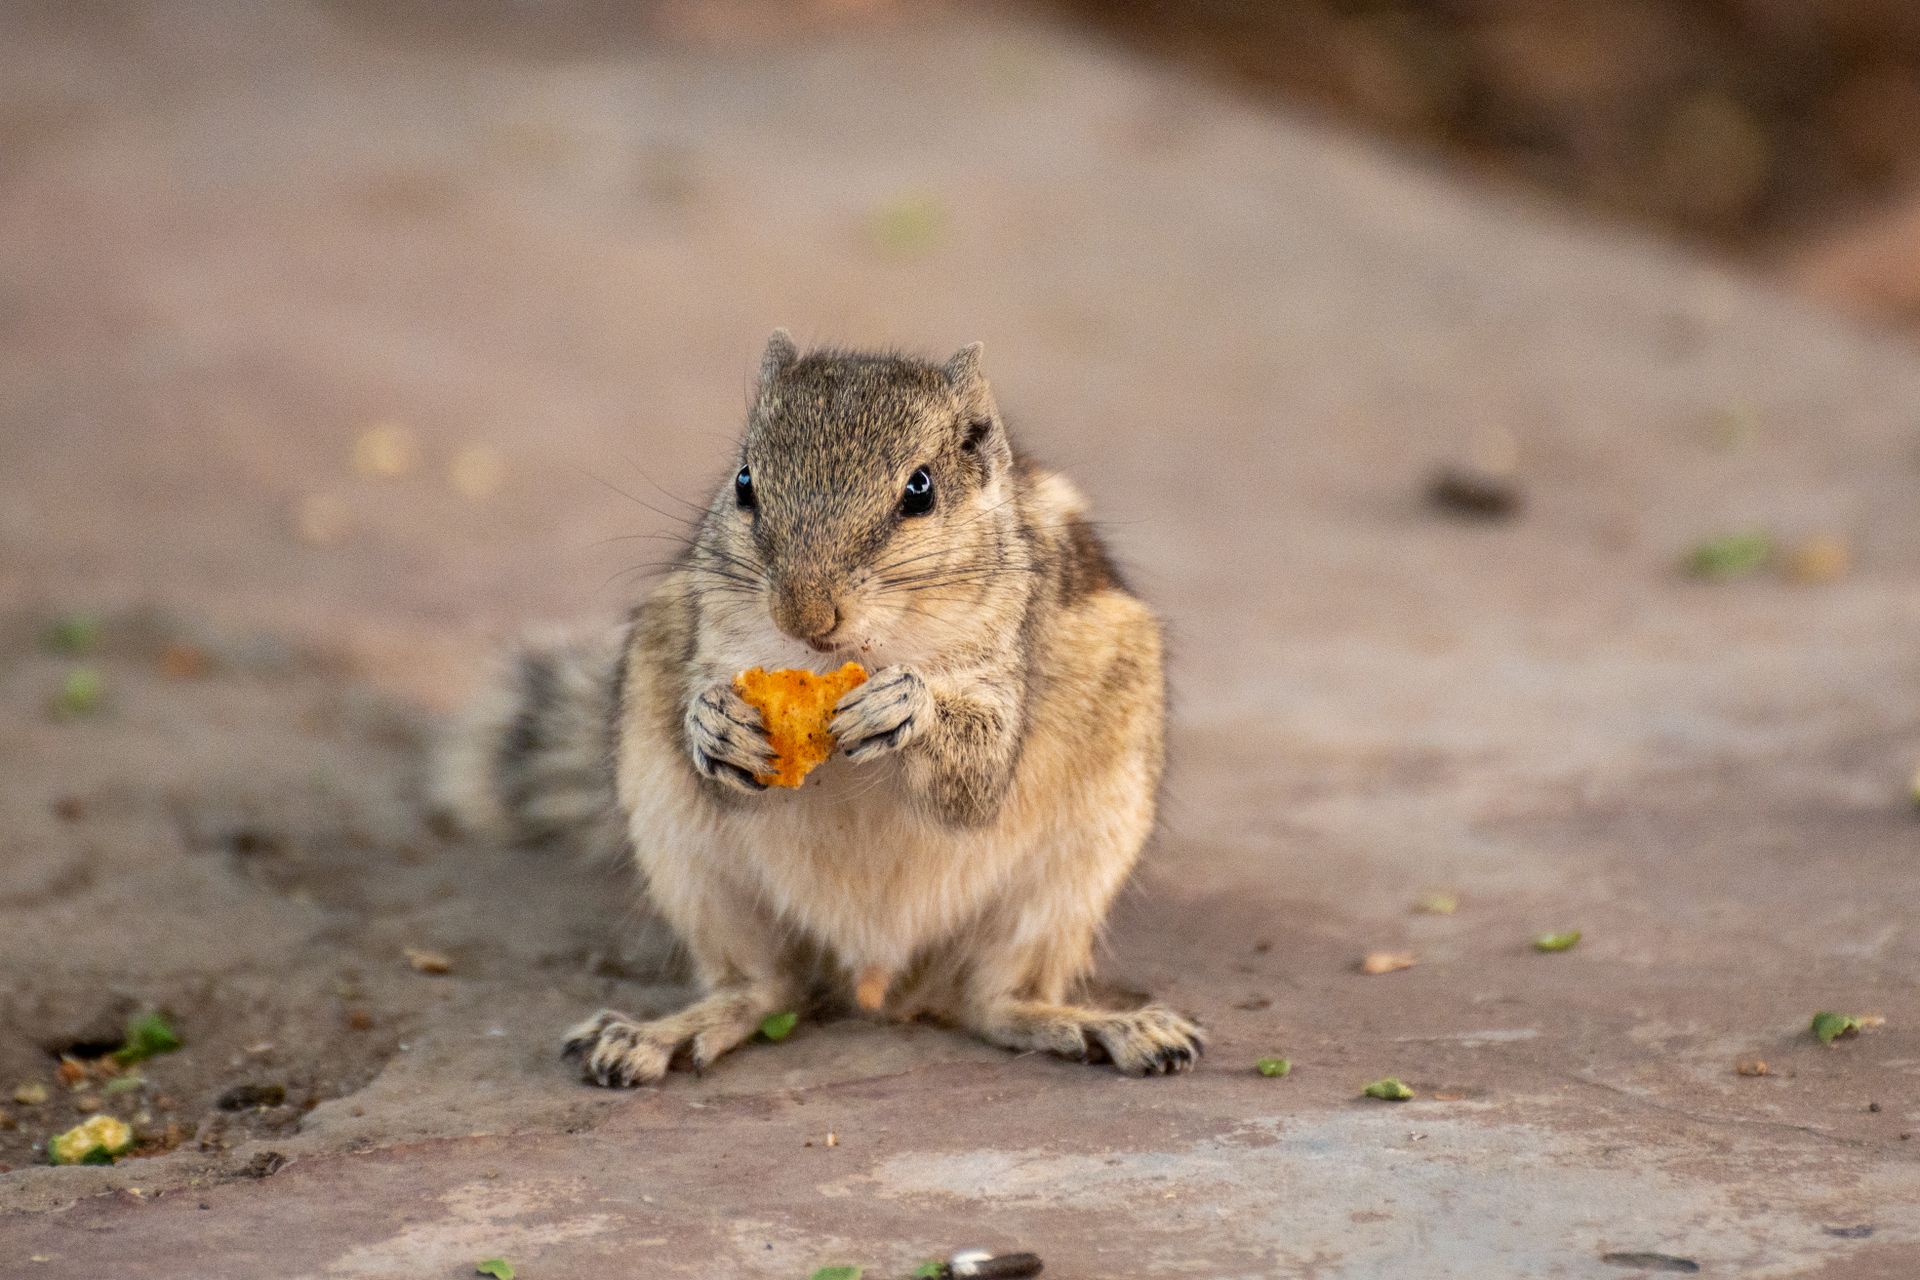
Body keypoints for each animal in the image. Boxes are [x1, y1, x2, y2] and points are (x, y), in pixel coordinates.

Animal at [435, 332, 1203, 1082]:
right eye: (744, 482)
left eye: (921, 489)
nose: (805, 612)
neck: (841, 659)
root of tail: (877, 971)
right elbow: (724, 757)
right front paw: (713, 726)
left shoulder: (1008, 660)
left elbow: (974, 785)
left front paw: (906, 706)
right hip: (689, 863)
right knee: (763, 990)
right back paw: (656, 1035)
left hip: (1072, 874)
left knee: (994, 1003)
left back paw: (1102, 1026)